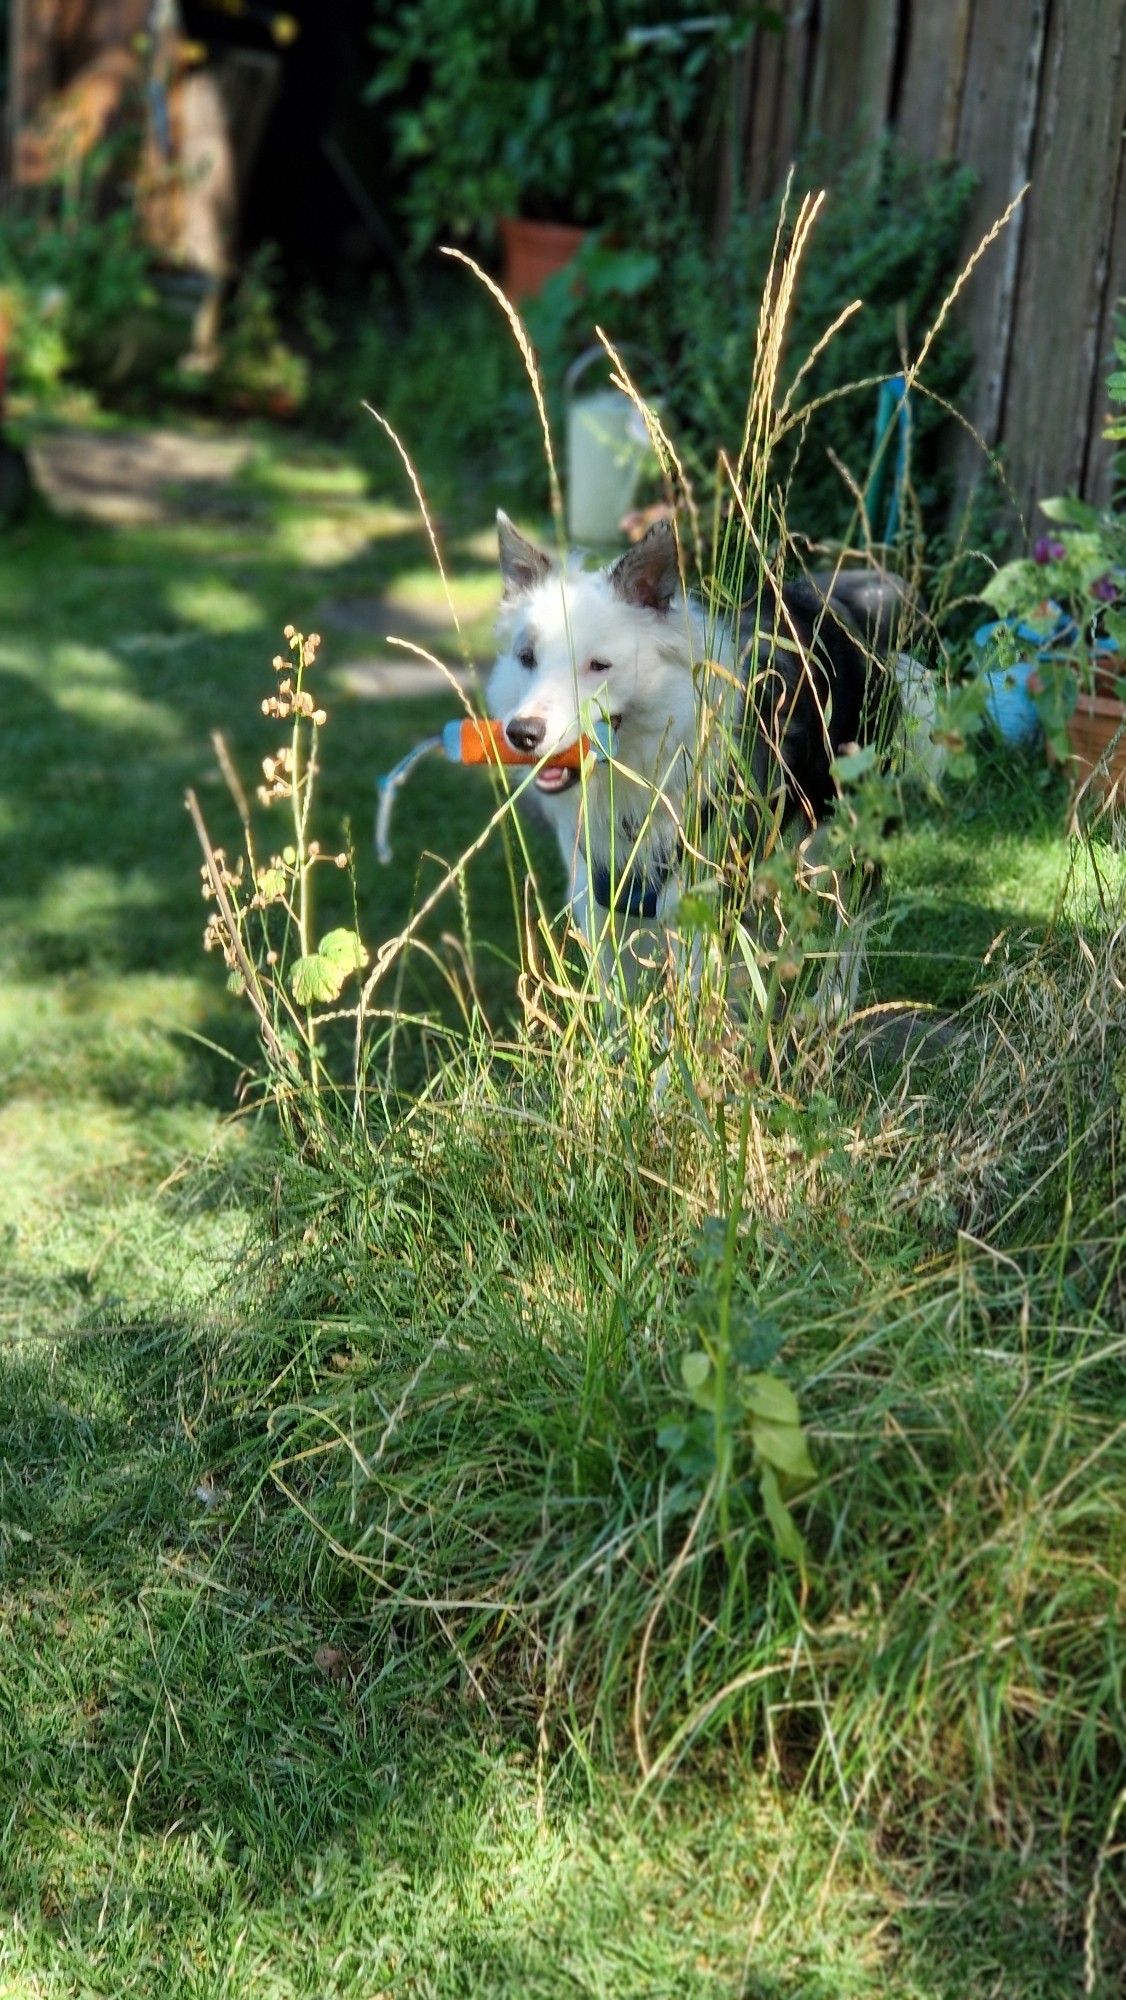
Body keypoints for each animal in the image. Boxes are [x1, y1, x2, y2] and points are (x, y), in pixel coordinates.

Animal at [490, 512, 940, 1000]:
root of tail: (847, 612)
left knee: (854, 908)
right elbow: (617, 1000)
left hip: (854, 817)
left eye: (599, 666)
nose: (523, 733)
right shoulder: (596, 895)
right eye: (526, 658)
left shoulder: (704, 896)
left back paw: (830, 1001)